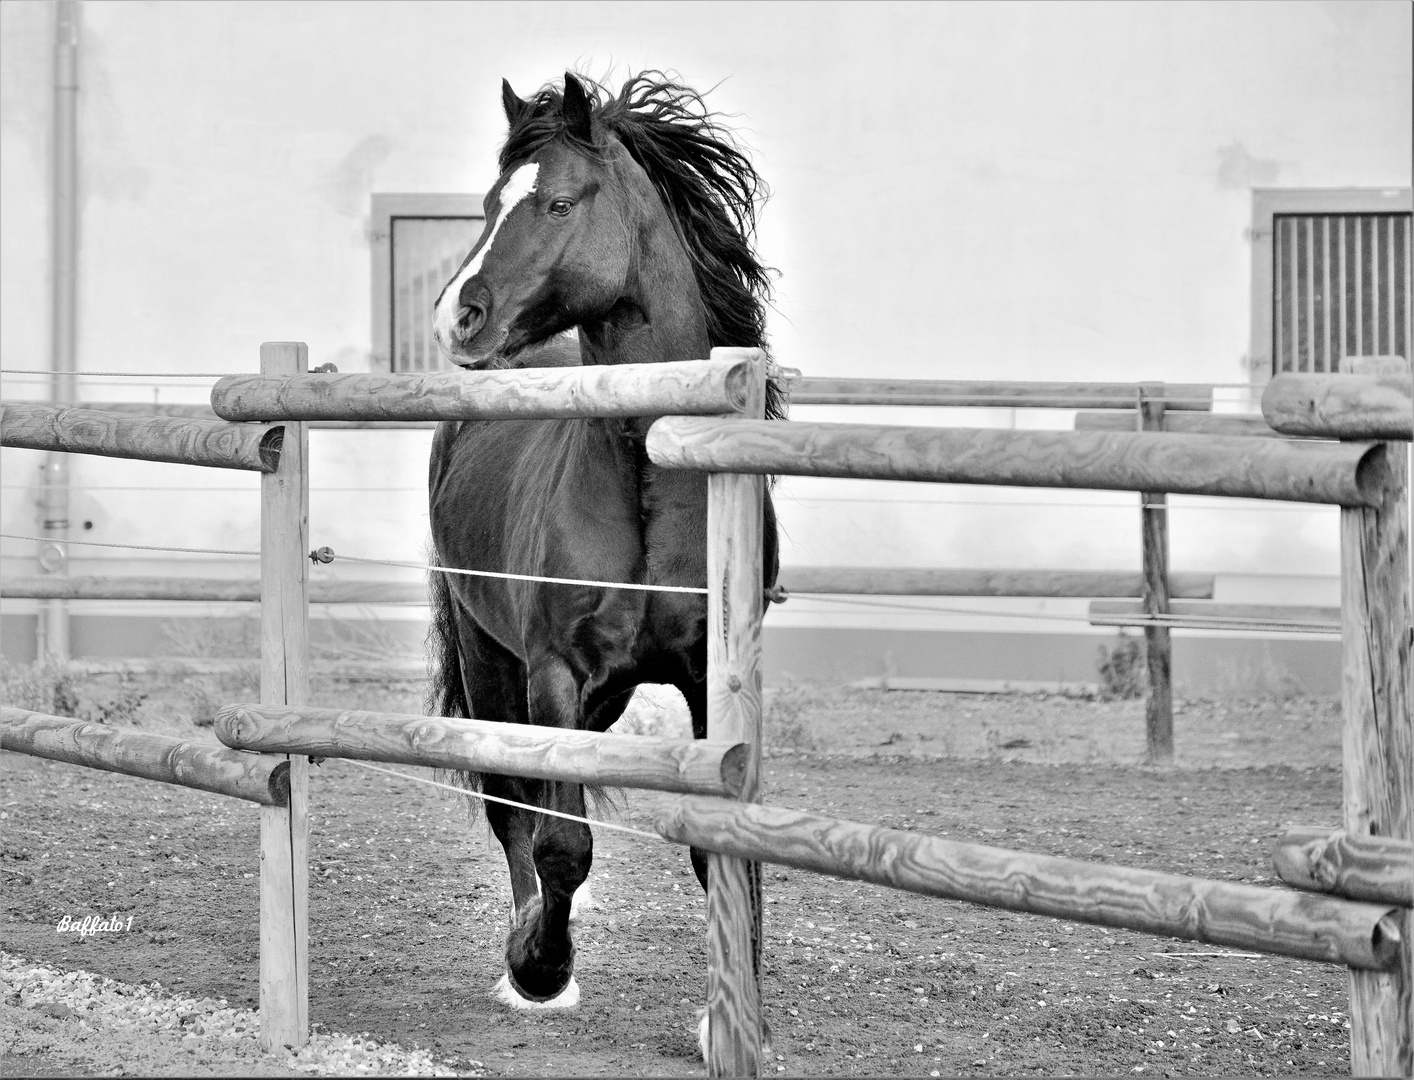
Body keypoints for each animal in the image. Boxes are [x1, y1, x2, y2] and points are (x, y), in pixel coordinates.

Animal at [424, 69, 791, 1023]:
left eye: (556, 202)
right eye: (489, 203)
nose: (458, 318)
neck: (654, 484)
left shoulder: (709, 679)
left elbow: (715, 851)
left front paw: (730, 1009)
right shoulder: (553, 669)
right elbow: (561, 843)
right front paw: (539, 967)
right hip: (491, 659)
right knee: (514, 806)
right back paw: (528, 953)